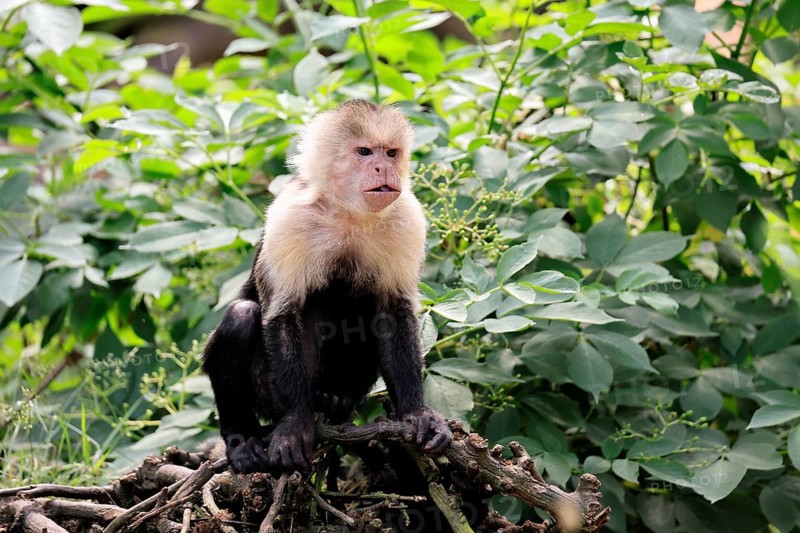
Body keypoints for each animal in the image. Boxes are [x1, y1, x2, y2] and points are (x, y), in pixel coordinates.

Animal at [202, 100, 453, 472]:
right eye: (364, 152)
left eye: (391, 153)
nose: (383, 168)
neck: (347, 211)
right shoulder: (289, 216)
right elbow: (282, 314)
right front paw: (294, 425)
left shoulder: (407, 217)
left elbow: (393, 312)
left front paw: (415, 412)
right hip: (267, 394)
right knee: (242, 314)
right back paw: (242, 436)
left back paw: (336, 398)